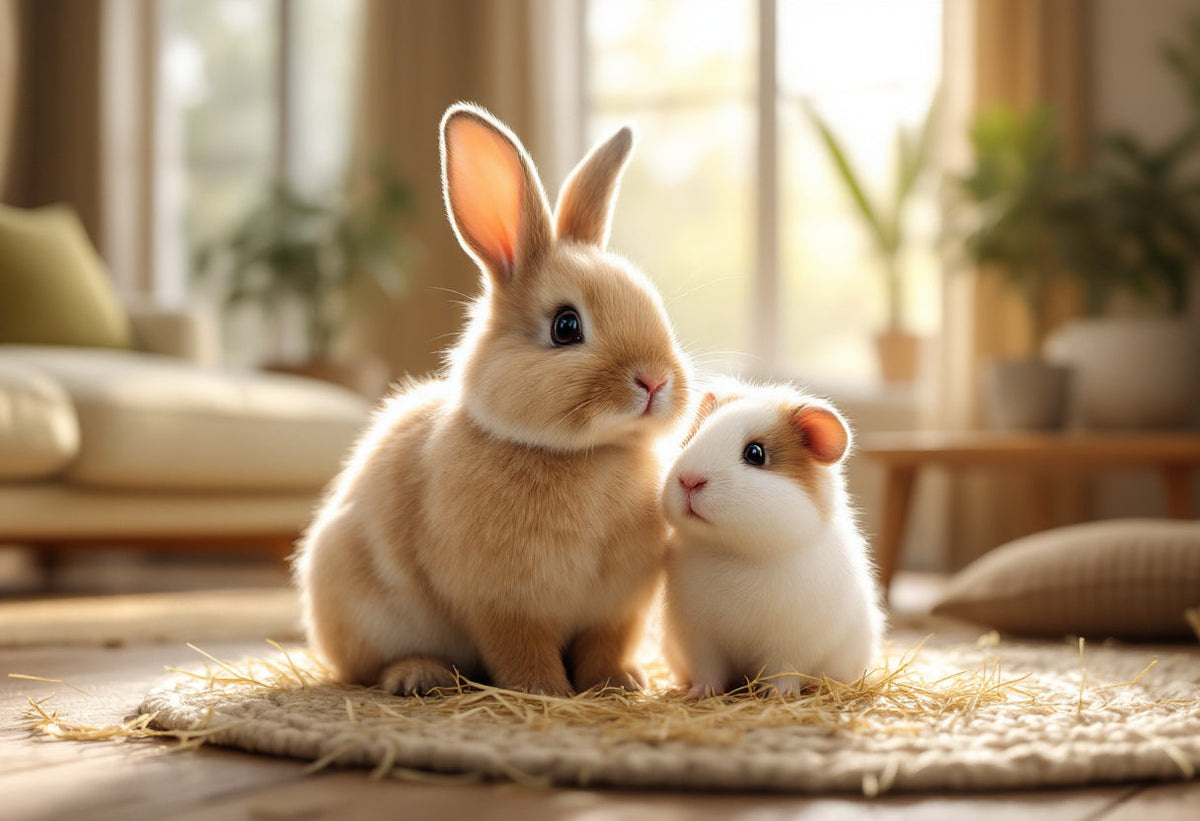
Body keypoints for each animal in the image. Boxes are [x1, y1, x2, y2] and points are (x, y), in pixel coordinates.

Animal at [293, 103, 691, 697]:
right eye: (566, 326)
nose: (653, 381)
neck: (587, 454)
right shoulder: (503, 604)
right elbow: (520, 650)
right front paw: (545, 691)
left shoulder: (615, 607)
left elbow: (605, 646)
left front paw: (617, 684)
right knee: (365, 668)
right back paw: (418, 676)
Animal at [661, 379, 885, 698]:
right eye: (690, 439)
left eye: (755, 454)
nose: (689, 480)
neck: (735, 554)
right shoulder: (699, 639)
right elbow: (708, 671)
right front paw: (702, 693)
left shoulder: (791, 644)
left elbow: (783, 672)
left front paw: (778, 695)